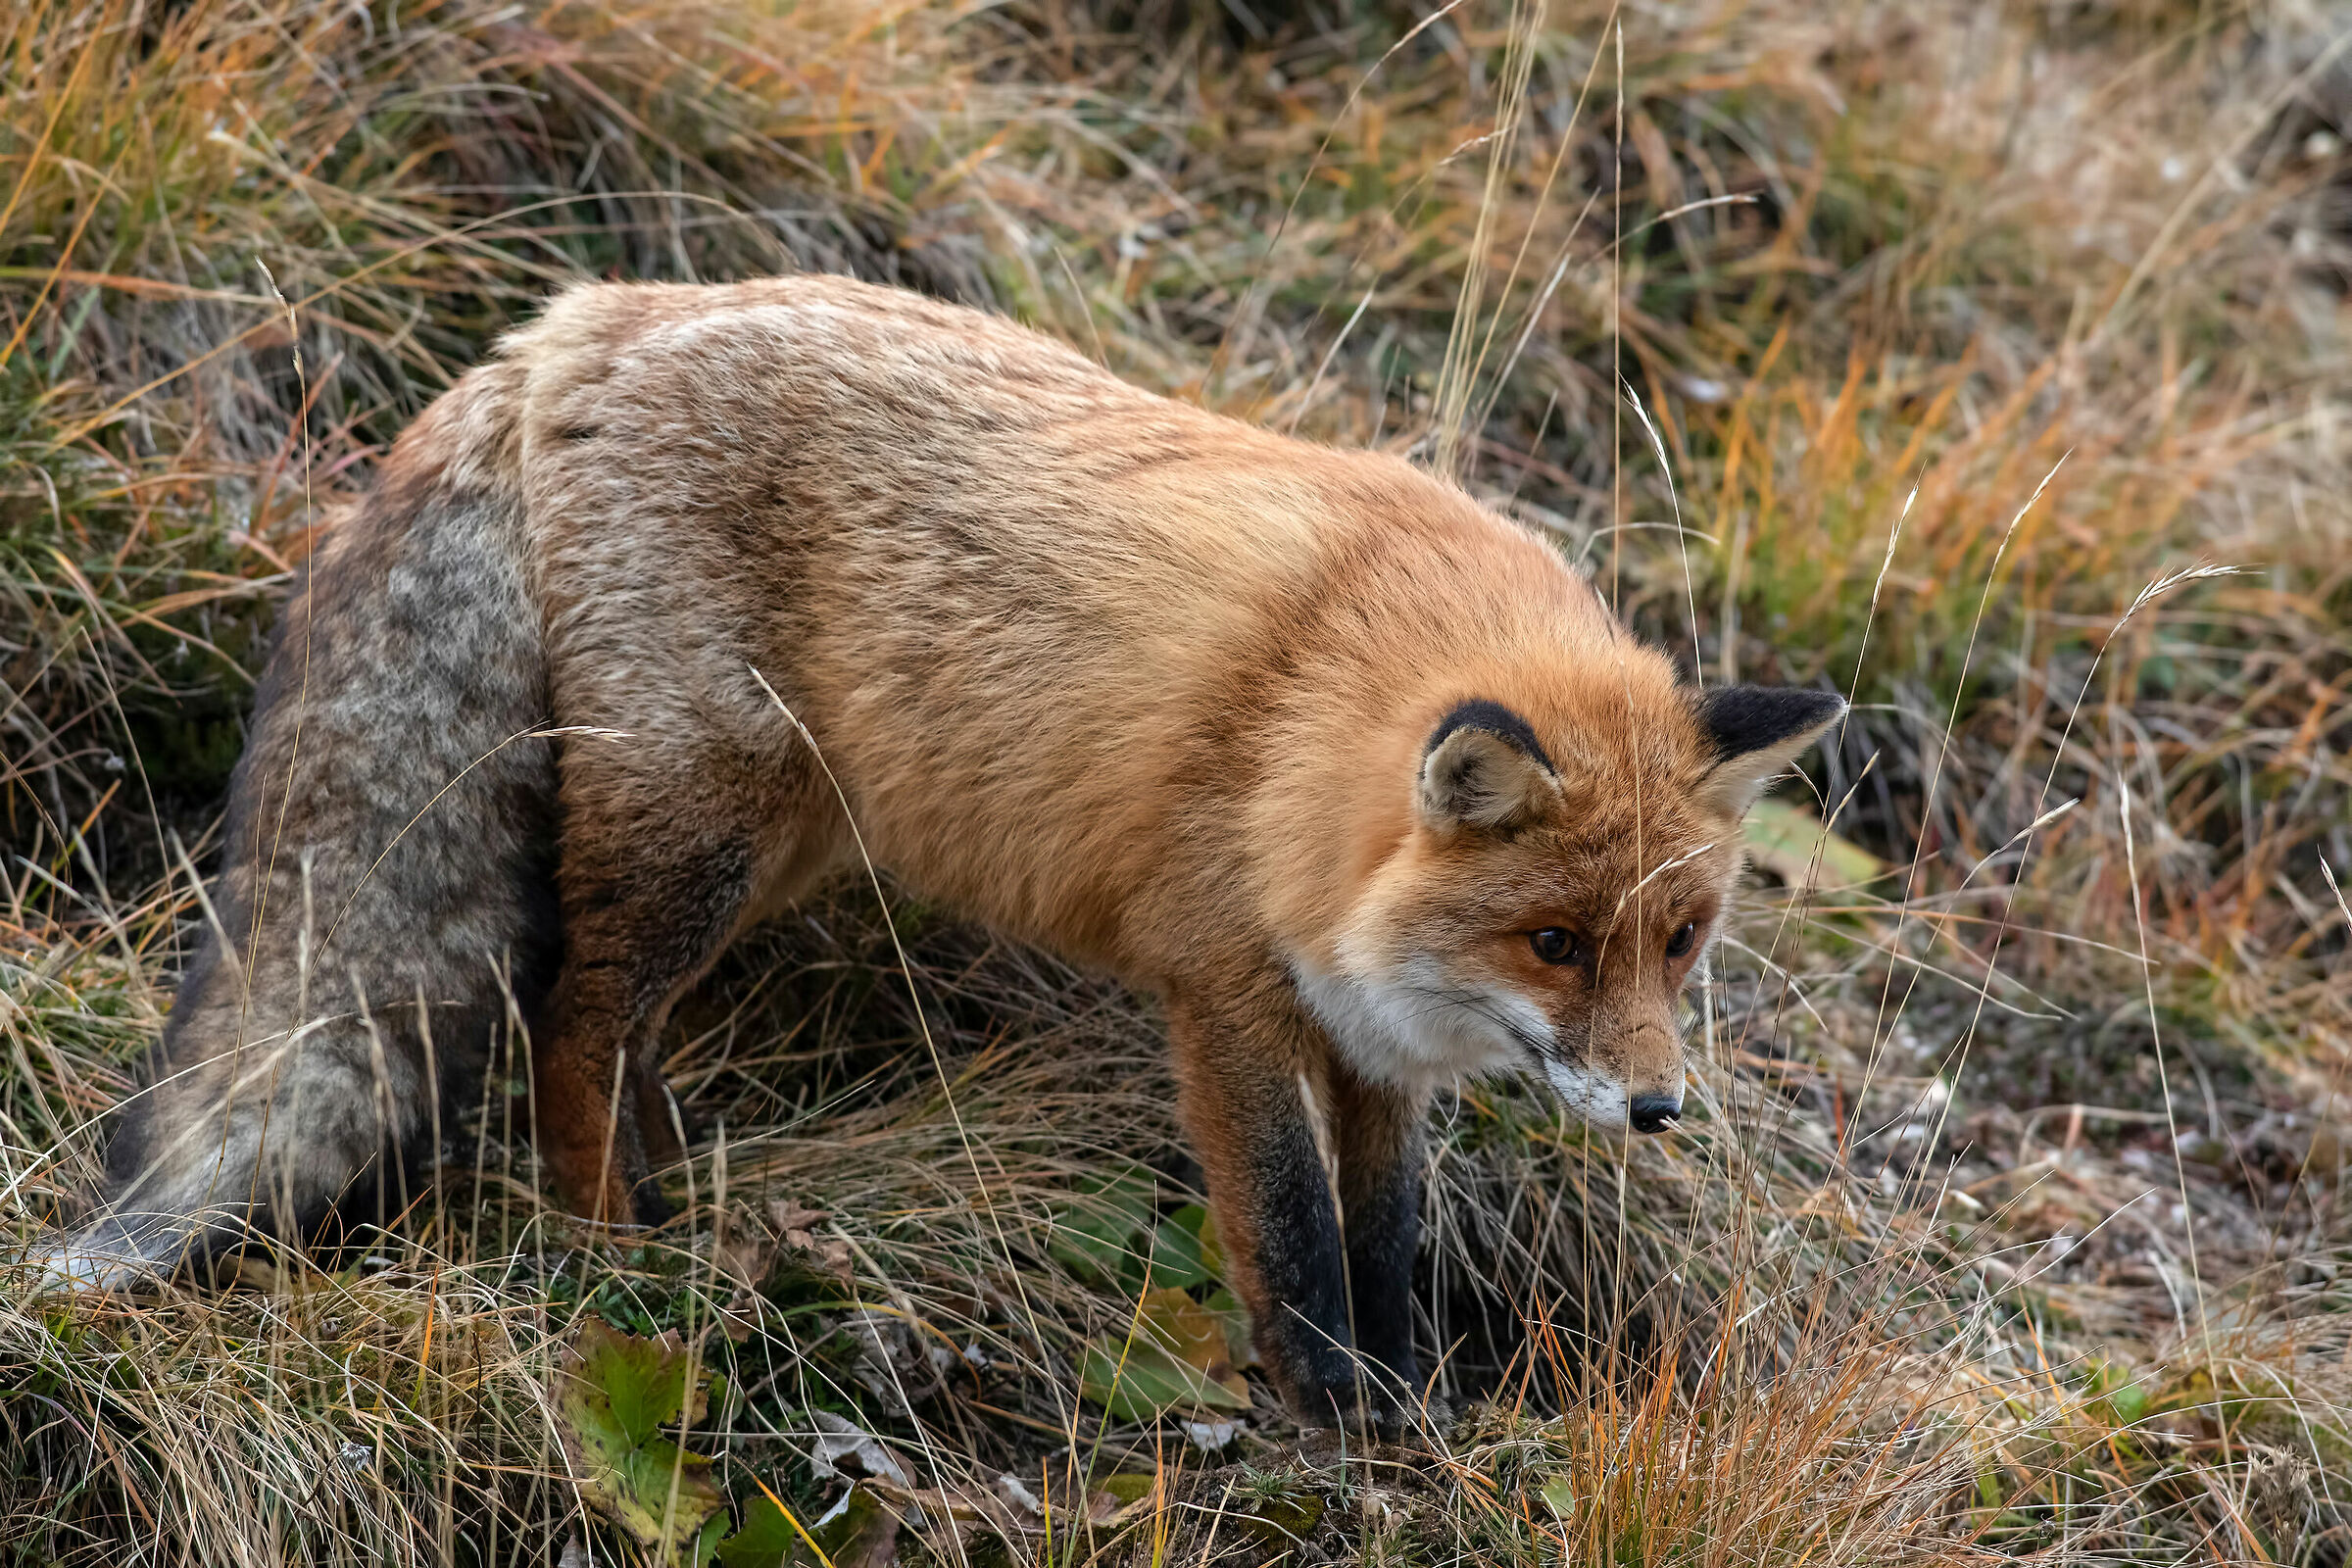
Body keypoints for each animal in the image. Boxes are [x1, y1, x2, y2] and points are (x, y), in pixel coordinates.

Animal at [42, 273, 1842, 1427]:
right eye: (1556, 942)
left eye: (1678, 941)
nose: (1660, 1110)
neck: (1312, 722)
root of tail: (575, 324)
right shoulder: (1223, 990)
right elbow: (1289, 1227)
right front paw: (1335, 1405)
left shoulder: (1374, 1045)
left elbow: (1389, 1230)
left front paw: (1410, 1390)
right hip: (698, 826)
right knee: (571, 1010)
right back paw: (614, 1247)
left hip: (773, 840)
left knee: (625, 1026)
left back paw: (678, 1198)